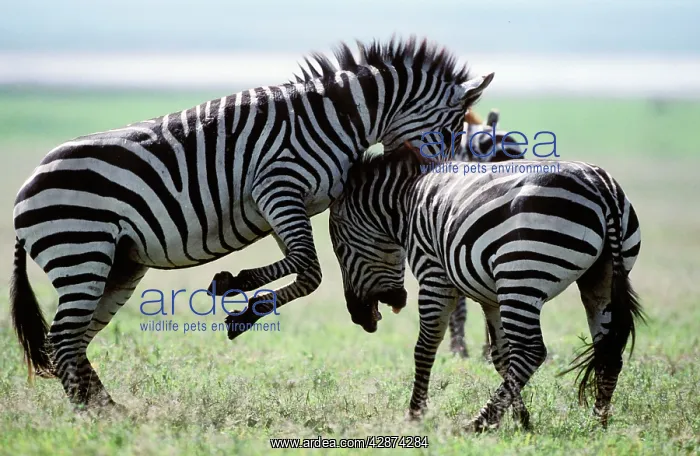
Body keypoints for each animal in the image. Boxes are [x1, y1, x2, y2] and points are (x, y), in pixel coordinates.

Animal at [11, 36, 495, 409]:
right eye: (453, 128)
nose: (444, 186)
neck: (336, 121)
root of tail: (25, 190)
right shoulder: (277, 187)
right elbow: (309, 268)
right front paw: (238, 292)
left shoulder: (286, 204)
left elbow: (304, 268)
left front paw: (240, 301)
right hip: (81, 250)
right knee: (64, 341)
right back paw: (96, 417)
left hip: (118, 265)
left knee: (71, 343)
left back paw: (110, 413)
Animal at [328, 145, 644, 431]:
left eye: (340, 251)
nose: (358, 317)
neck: (407, 202)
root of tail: (600, 186)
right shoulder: (489, 297)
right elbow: (502, 357)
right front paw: (520, 419)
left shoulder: (434, 275)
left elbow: (425, 347)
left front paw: (415, 414)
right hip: (601, 280)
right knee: (608, 353)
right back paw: (598, 423)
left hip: (521, 277)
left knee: (532, 351)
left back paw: (477, 422)